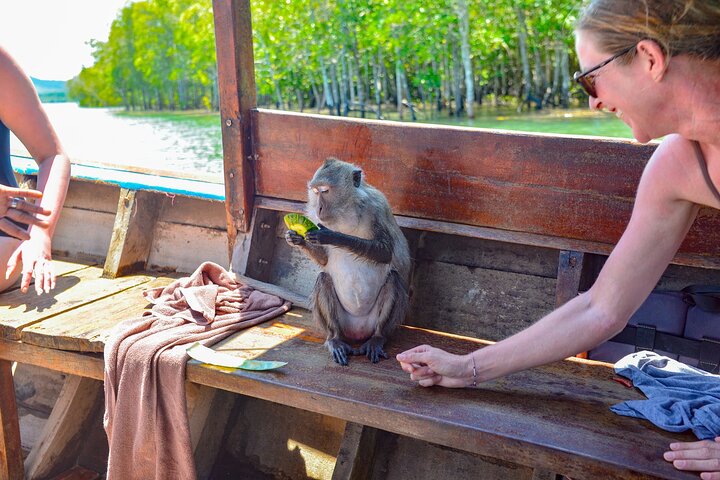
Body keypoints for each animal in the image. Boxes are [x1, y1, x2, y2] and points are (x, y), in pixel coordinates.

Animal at [285, 158, 411, 366]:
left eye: (325, 190)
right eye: (316, 192)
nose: (319, 208)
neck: (346, 212)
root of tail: (358, 333)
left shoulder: (377, 208)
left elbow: (385, 252)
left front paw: (333, 236)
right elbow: (324, 260)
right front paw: (295, 238)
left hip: (373, 322)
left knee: (392, 280)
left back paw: (377, 338)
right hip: (343, 323)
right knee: (323, 280)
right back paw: (335, 338)